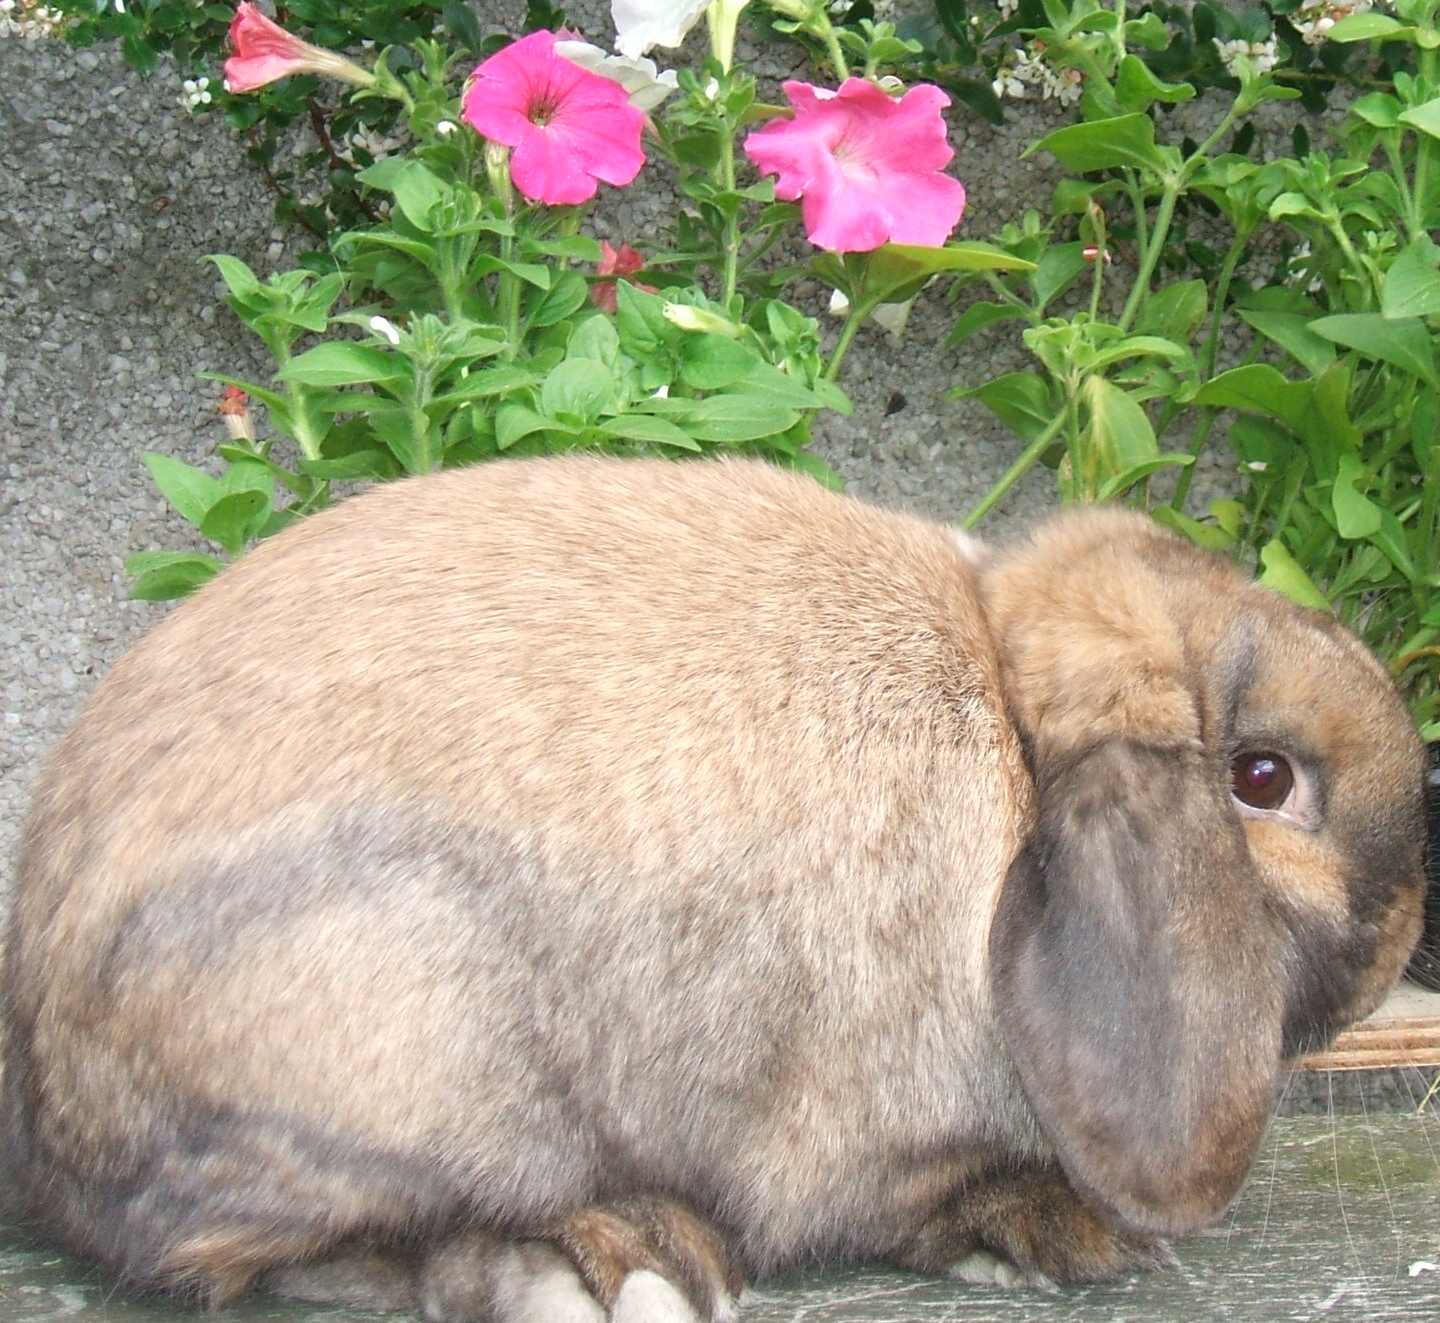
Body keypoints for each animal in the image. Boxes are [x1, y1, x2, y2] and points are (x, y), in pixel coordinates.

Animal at [2, 454, 1428, 1323]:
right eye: (1262, 778)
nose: (1399, 942)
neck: (1014, 746)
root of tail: (45, 1094)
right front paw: (1056, 1233)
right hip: (389, 1041)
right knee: (264, 1255)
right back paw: (611, 1263)